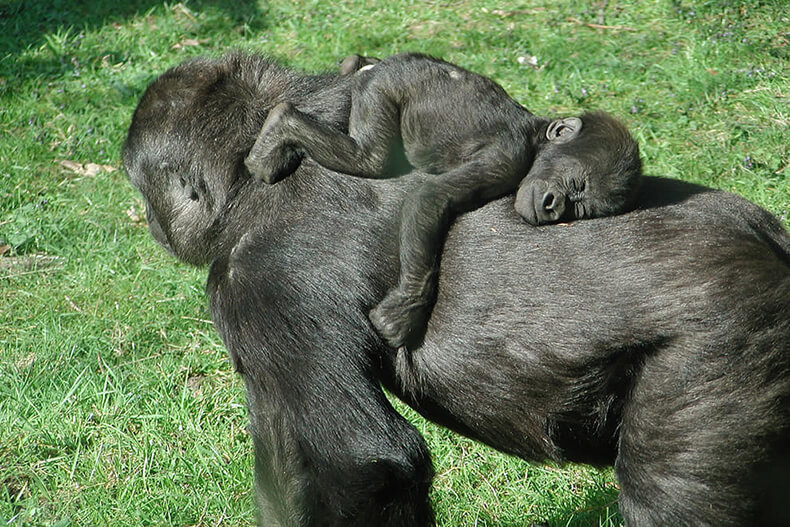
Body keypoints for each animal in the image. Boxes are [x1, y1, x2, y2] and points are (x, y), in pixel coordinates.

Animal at [246, 52, 644, 350]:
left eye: (582, 206)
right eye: (573, 183)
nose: (554, 204)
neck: (535, 139)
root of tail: (390, 62)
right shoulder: (504, 158)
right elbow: (430, 197)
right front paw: (408, 307)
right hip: (383, 88)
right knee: (370, 158)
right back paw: (281, 124)